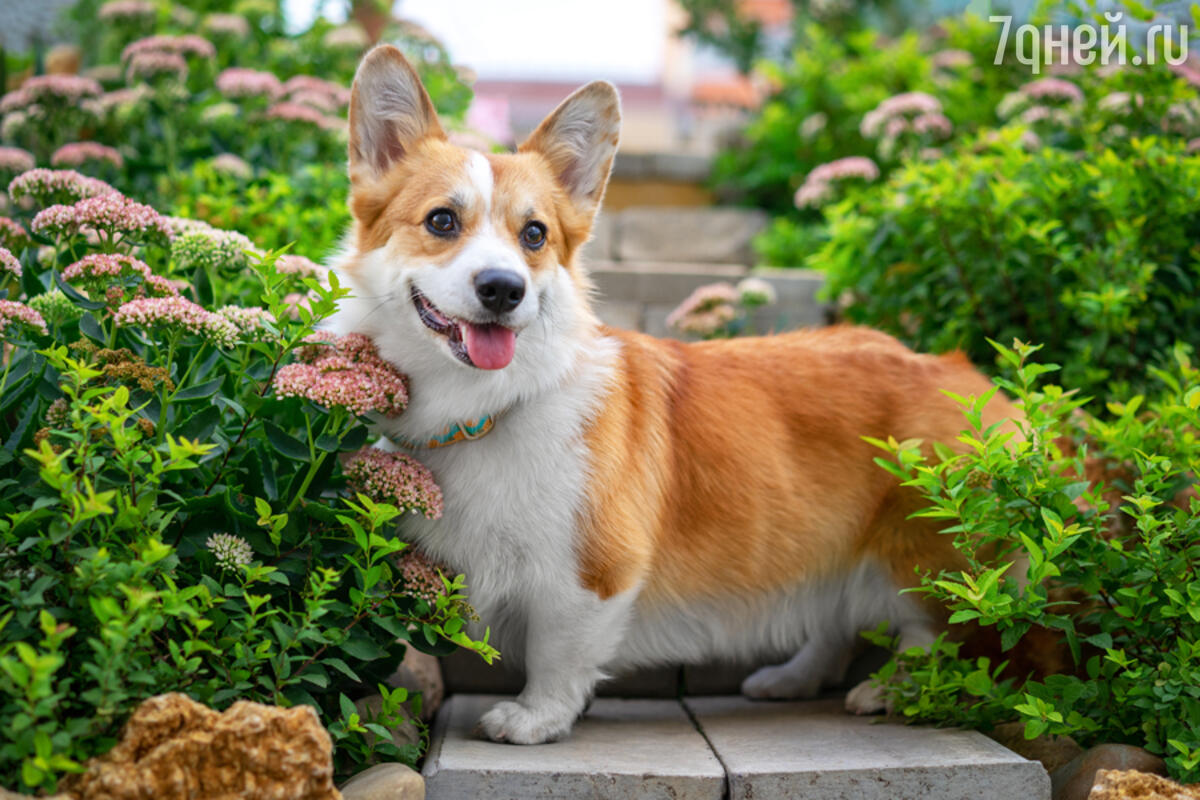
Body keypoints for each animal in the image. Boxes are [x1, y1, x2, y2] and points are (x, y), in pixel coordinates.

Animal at [331, 43, 1022, 743]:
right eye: (442, 220)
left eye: (535, 235)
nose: (504, 289)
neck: (487, 407)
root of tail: (972, 378)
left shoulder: (590, 576)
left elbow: (558, 654)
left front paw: (534, 720)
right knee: (834, 625)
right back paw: (790, 680)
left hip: (926, 558)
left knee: (931, 636)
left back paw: (891, 691)